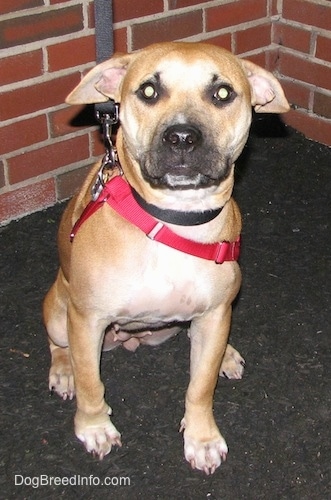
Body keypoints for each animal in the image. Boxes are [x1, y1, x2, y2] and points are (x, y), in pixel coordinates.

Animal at [42, 42, 290, 472]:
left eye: (222, 93)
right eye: (148, 91)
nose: (182, 137)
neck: (172, 220)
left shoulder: (215, 314)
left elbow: (200, 386)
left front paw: (201, 437)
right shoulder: (87, 319)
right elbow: (91, 382)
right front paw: (94, 427)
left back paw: (226, 355)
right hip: (60, 312)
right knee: (59, 346)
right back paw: (63, 372)